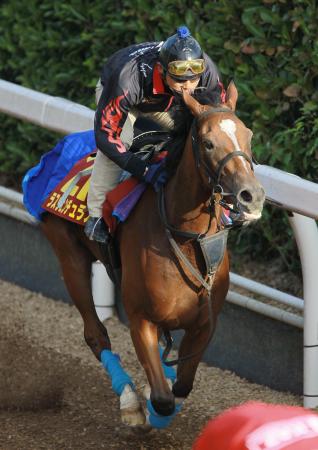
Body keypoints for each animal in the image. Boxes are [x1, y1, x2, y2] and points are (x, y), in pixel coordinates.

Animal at [41, 82, 266, 430]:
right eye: (208, 143)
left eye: (248, 135)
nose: (251, 195)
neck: (185, 238)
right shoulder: (140, 318)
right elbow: (162, 399)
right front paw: (148, 408)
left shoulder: (205, 322)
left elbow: (183, 385)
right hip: (70, 256)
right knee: (95, 334)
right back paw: (130, 401)